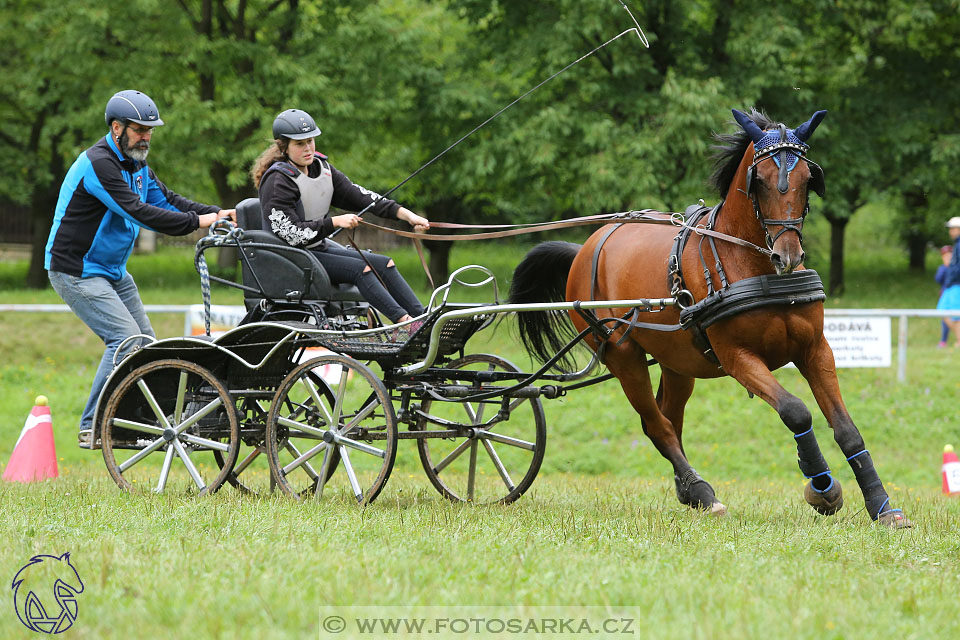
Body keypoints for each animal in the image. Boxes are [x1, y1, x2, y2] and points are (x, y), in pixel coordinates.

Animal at [506, 110, 912, 528]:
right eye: (759, 181)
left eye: (806, 179)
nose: (788, 255)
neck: (755, 267)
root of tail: (585, 248)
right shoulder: (738, 358)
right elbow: (796, 412)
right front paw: (822, 487)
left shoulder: (815, 350)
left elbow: (847, 430)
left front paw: (882, 506)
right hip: (623, 355)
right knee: (657, 424)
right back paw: (702, 491)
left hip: (677, 361)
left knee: (667, 419)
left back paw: (690, 490)